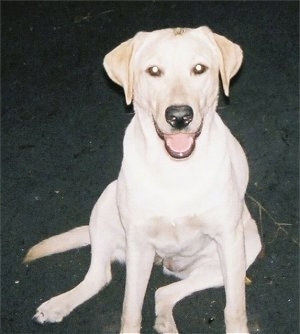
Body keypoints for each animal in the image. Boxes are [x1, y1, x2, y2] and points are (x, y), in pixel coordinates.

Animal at [24, 26, 262, 334]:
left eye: (199, 69)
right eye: (153, 71)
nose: (179, 117)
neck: (176, 169)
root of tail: (167, 263)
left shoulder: (230, 241)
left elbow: (234, 309)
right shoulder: (138, 243)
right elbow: (130, 310)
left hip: (246, 246)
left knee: (163, 292)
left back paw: (165, 322)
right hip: (107, 202)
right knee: (99, 277)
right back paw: (58, 304)